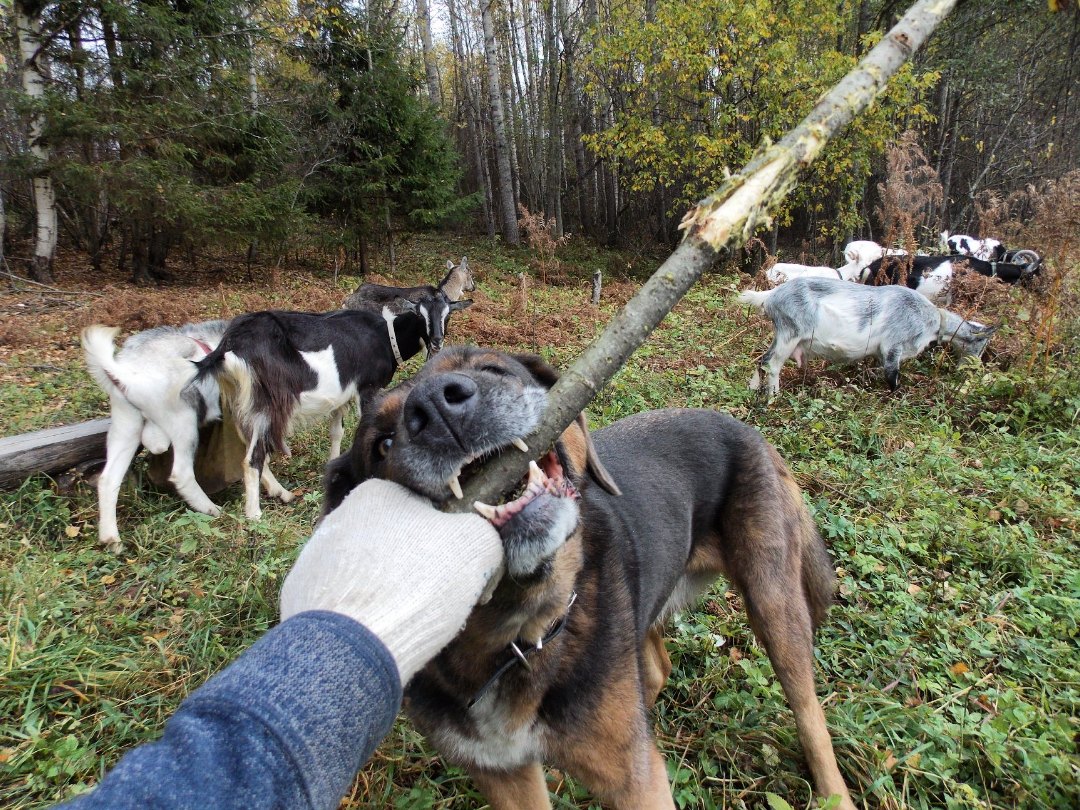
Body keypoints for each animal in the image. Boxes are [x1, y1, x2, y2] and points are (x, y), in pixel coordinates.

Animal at [82, 319, 230, 557]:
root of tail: (126, 373)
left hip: (126, 427)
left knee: (108, 479)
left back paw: (111, 539)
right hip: (184, 423)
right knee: (181, 474)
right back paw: (211, 509)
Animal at [195, 295, 473, 516]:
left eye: (448, 314)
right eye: (419, 313)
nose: (436, 341)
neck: (384, 335)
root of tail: (228, 347)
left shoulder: (342, 394)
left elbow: (336, 432)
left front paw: (333, 464)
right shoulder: (366, 388)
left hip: (238, 400)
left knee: (248, 444)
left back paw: (280, 492)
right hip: (267, 402)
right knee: (253, 456)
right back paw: (254, 514)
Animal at [319, 347, 851, 810]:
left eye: (491, 368)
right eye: (382, 444)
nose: (436, 406)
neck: (517, 634)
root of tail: (747, 429)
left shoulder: (637, 785)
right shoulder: (502, 776)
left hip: (773, 603)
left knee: (809, 712)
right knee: (656, 667)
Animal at [743, 278, 993, 397]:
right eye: (981, 345)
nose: (974, 370)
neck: (933, 320)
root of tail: (771, 295)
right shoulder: (893, 346)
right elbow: (893, 378)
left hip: (782, 334)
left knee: (762, 359)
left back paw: (754, 389)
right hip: (790, 333)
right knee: (772, 364)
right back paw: (773, 397)